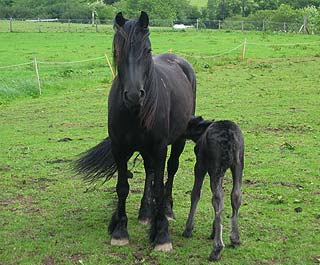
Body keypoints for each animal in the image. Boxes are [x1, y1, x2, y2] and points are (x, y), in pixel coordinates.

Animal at [182, 115, 245, 260]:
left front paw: (188, 229)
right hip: (238, 163)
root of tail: (230, 135)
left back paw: (217, 248)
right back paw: (235, 238)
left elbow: (195, 194)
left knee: (217, 200)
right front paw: (214, 230)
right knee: (235, 195)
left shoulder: (200, 165)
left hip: (215, 167)